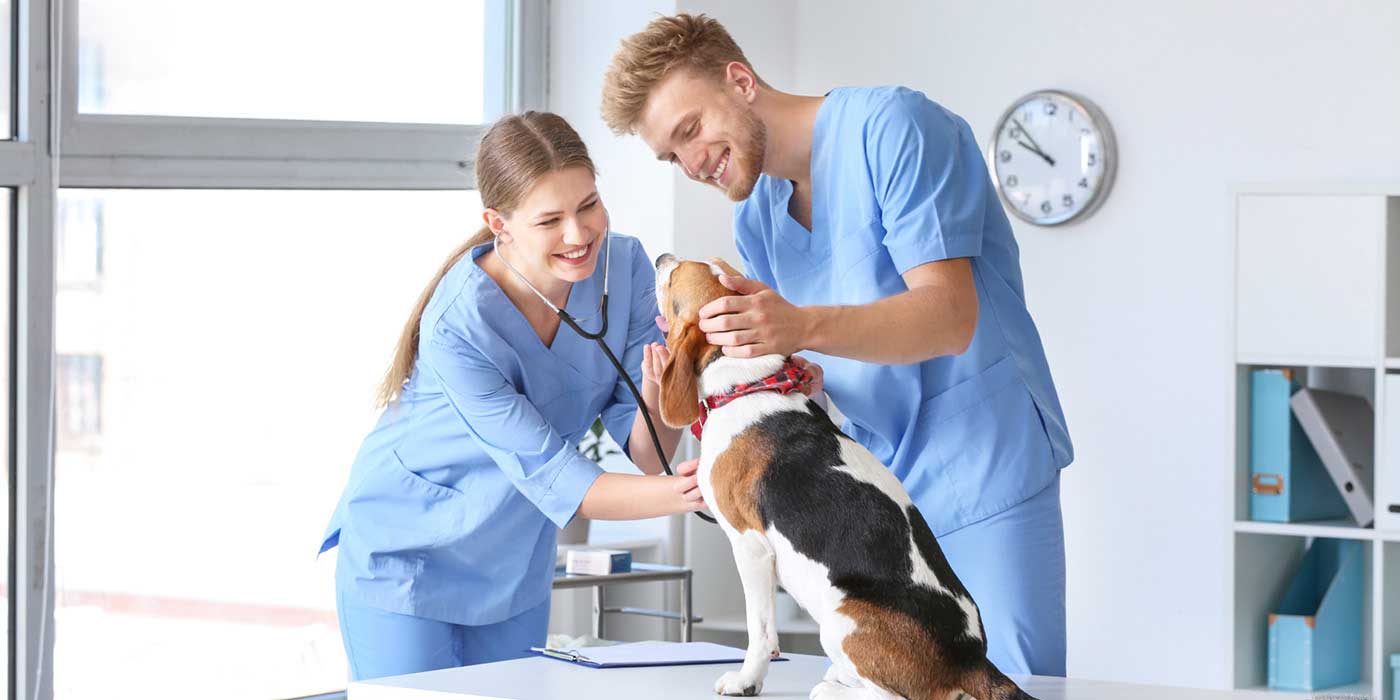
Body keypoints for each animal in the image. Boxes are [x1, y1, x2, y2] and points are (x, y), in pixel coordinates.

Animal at [649, 256, 1036, 700]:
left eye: (677, 275)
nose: (660, 258)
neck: (748, 383)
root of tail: (970, 658)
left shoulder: (750, 546)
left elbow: (760, 631)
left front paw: (746, 680)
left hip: (840, 617)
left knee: (893, 696)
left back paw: (832, 689)